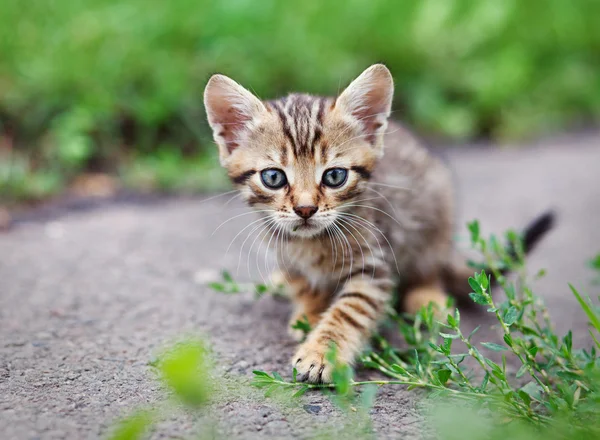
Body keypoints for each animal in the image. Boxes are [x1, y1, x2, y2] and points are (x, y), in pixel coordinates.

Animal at [204, 63, 556, 384]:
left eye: (335, 176)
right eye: (274, 178)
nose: (305, 209)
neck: (310, 244)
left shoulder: (375, 264)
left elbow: (349, 310)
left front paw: (322, 352)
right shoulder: (283, 249)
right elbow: (304, 284)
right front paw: (309, 311)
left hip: (433, 219)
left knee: (429, 269)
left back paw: (427, 299)